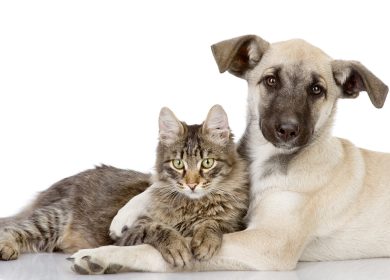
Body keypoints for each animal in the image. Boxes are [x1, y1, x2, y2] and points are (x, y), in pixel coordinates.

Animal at [114, 104, 248, 266]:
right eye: (178, 163)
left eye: (207, 162)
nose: (192, 185)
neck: (193, 207)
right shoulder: (128, 236)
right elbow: (155, 228)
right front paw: (176, 247)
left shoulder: (235, 225)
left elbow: (213, 222)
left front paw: (206, 240)